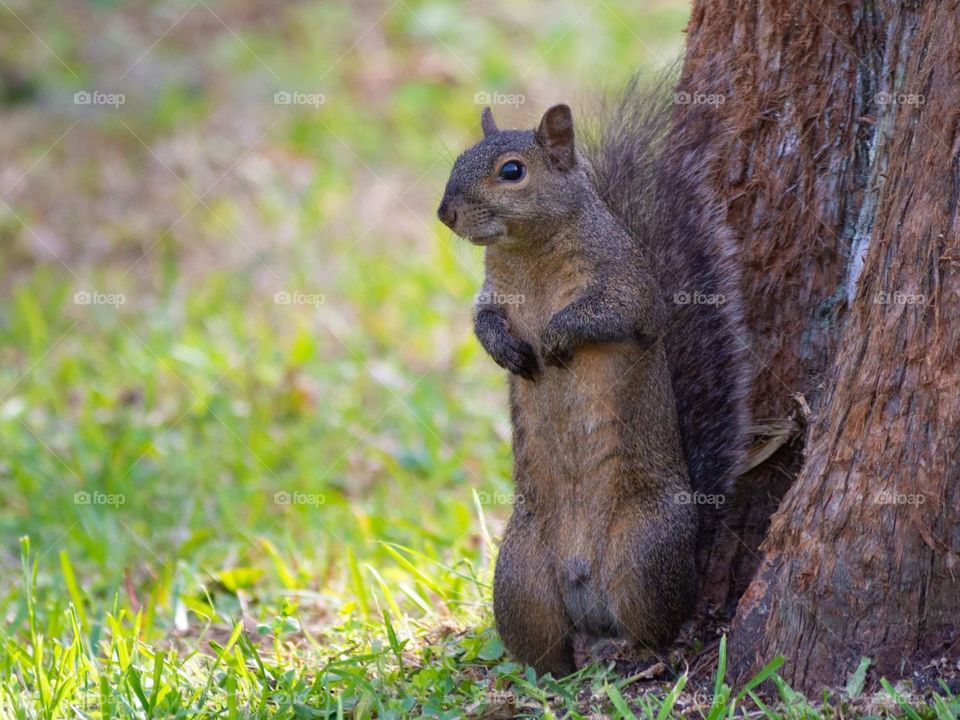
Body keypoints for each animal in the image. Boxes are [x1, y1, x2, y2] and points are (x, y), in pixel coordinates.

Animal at [437, 77, 750, 676]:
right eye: (460, 157)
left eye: (512, 171)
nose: (445, 214)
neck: (528, 254)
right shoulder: (493, 295)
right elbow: (483, 319)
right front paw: (507, 350)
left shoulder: (627, 284)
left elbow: (613, 314)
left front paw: (558, 335)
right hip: (520, 578)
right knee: (549, 650)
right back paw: (557, 665)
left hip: (642, 552)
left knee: (655, 627)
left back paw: (630, 650)